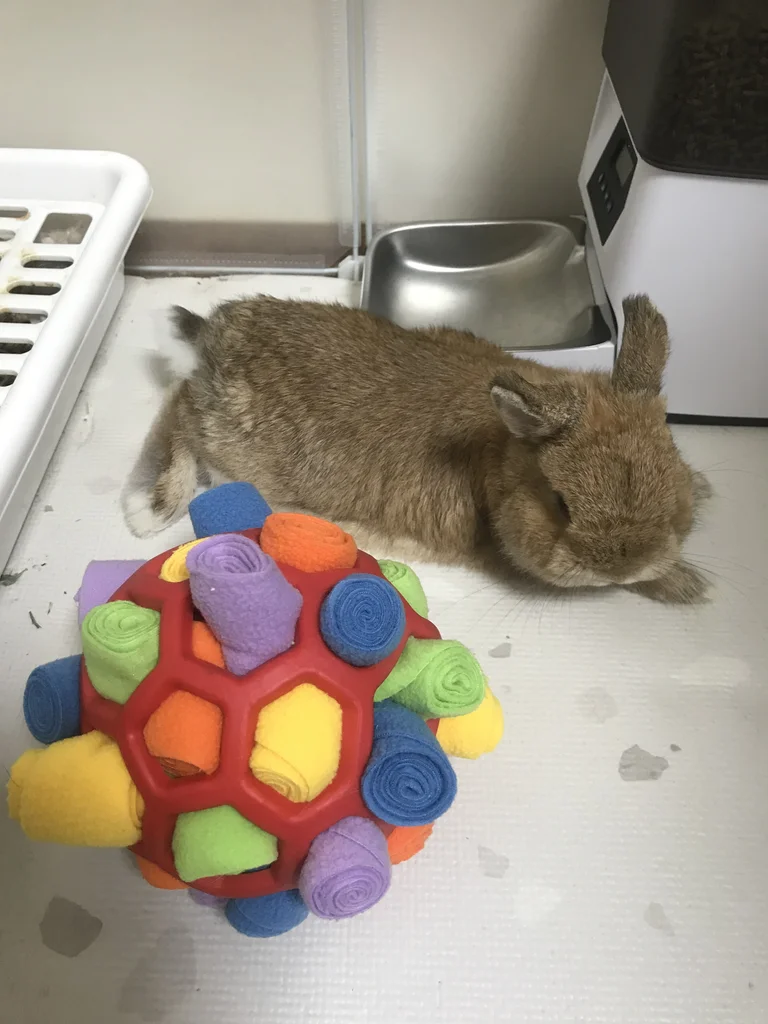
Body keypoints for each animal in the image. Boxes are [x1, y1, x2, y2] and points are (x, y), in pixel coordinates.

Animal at [122, 293, 711, 603]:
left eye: (673, 483)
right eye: (561, 504)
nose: (621, 570)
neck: (500, 449)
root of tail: (210, 340)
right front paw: (686, 586)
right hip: (224, 440)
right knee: (181, 415)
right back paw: (148, 506)